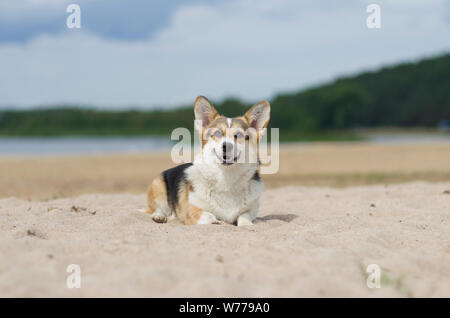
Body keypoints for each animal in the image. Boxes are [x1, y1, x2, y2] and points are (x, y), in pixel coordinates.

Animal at [146, 95, 268, 225]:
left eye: (239, 135)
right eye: (218, 133)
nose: (226, 146)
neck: (226, 178)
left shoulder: (251, 210)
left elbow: (244, 217)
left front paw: (247, 225)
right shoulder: (193, 210)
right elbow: (210, 216)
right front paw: (218, 221)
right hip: (159, 189)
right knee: (157, 209)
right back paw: (159, 216)